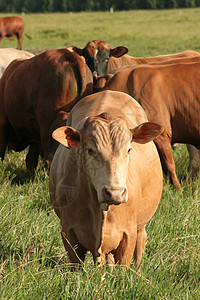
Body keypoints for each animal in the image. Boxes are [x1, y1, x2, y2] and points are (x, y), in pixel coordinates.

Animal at [49, 89, 163, 270]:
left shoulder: (128, 232)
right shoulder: (68, 230)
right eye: (90, 150)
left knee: (140, 244)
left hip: (141, 225)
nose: (115, 193)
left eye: (128, 149)